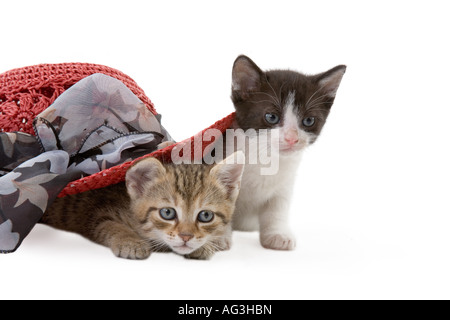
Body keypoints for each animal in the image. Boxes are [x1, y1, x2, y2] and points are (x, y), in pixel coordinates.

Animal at [41, 152, 244, 260]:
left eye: (205, 216)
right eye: (167, 213)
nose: (186, 237)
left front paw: (212, 241)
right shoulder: (95, 212)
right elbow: (109, 225)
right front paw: (130, 242)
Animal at [230, 55, 346, 250]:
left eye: (308, 120)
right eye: (271, 117)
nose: (292, 138)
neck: (266, 158)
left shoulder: (285, 183)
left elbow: (278, 208)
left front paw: (277, 234)